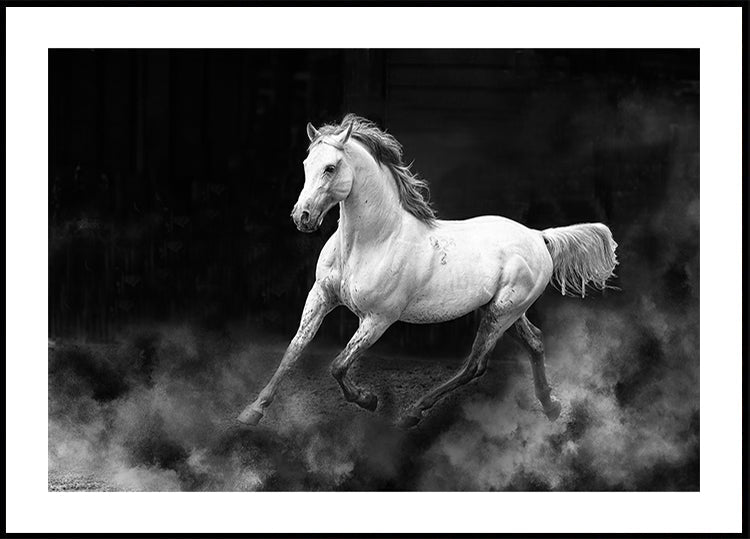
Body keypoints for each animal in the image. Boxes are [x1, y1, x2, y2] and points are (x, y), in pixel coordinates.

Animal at [238, 114, 618, 428]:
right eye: (306, 164)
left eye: (330, 168)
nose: (301, 217)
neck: (371, 242)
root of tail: (538, 236)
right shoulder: (320, 296)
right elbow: (294, 348)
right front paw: (252, 411)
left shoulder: (378, 319)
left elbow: (339, 364)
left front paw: (369, 400)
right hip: (506, 310)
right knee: (535, 342)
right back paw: (550, 406)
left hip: (501, 311)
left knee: (475, 364)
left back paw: (412, 412)